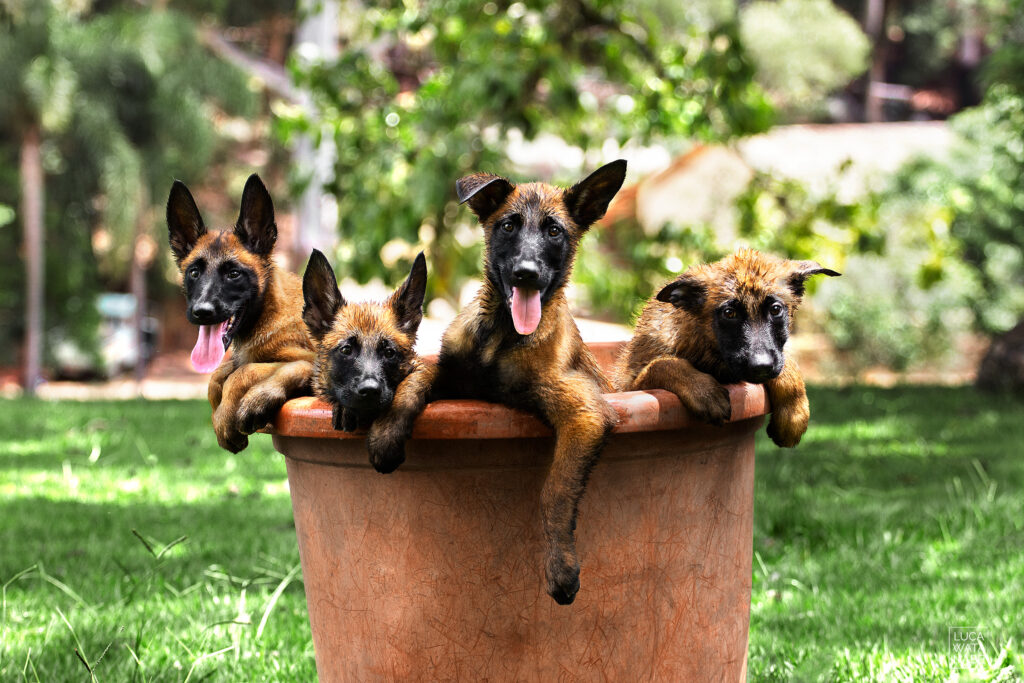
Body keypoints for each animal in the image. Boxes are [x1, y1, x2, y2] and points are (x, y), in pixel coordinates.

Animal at [166, 174, 315, 450]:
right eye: (194, 272)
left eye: (233, 274)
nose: (202, 311)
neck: (267, 313)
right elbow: (217, 376)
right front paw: (219, 413)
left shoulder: (312, 360)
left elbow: (244, 372)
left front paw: (227, 417)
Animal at [299, 248, 430, 473]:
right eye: (346, 350)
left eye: (389, 352)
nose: (369, 391)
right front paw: (345, 409)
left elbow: (408, 388)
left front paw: (385, 439)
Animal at [372, 158, 626, 602]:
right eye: (508, 226)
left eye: (554, 231)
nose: (526, 274)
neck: (503, 337)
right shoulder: (452, 372)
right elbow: (413, 384)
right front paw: (387, 436)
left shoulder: (584, 411)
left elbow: (555, 490)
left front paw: (561, 567)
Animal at [614, 248, 839, 450]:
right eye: (729, 313)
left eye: (776, 310)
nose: (761, 367)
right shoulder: (629, 385)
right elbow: (662, 364)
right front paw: (704, 392)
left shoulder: (775, 358)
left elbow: (788, 364)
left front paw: (793, 415)